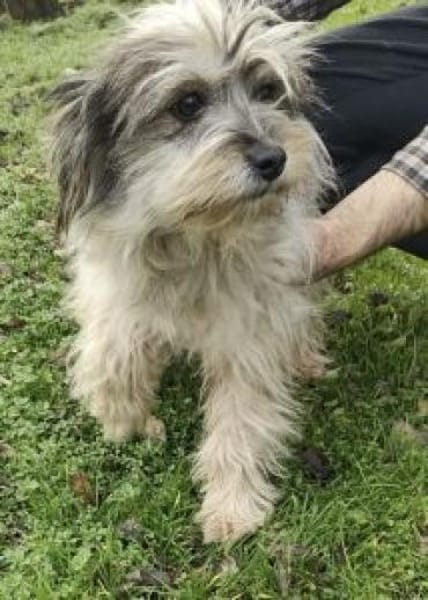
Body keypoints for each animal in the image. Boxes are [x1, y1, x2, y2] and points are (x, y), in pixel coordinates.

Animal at [49, 0, 334, 543]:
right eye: (187, 103)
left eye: (267, 90)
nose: (274, 158)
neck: (193, 234)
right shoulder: (112, 281)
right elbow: (112, 347)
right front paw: (121, 414)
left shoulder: (252, 322)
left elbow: (243, 413)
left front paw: (232, 505)